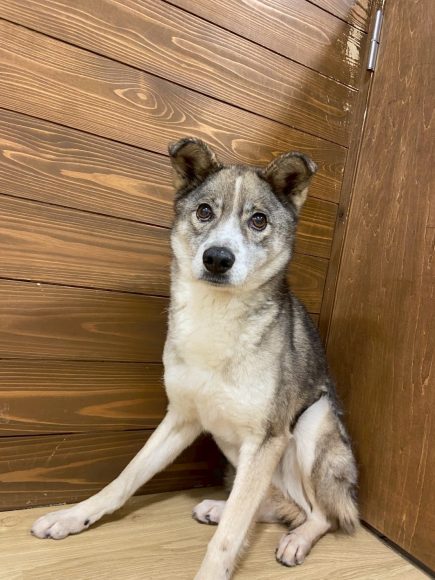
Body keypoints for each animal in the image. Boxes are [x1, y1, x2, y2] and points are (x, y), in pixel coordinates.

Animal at [31, 138, 358, 579]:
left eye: (258, 220)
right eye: (204, 211)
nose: (218, 258)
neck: (216, 314)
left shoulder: (268, 438)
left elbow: (229, 537)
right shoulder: (181, 418)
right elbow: (126, 478)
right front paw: (74, 516)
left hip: (311, 424)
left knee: (319, 513)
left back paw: (297, 539)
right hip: (233, 444)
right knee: (275, 502)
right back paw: (221, 508)